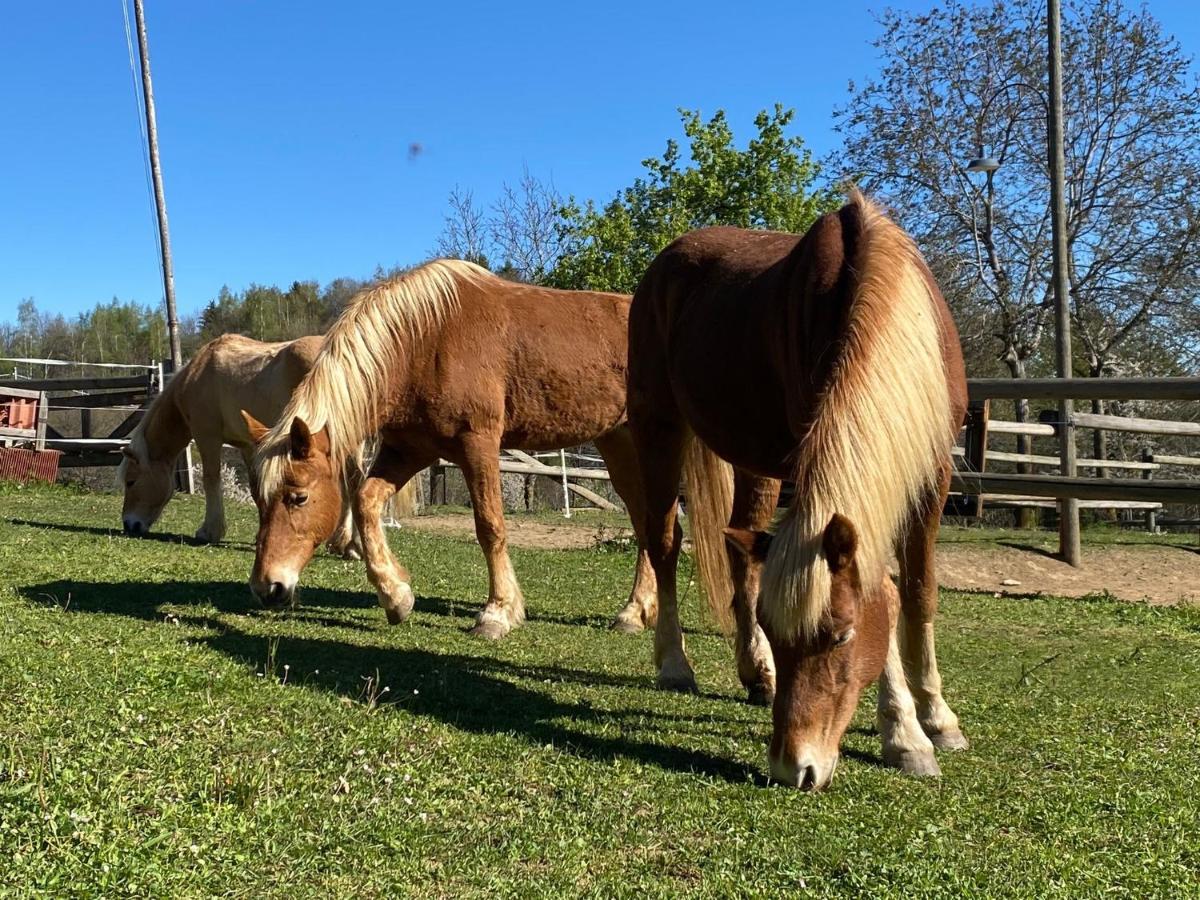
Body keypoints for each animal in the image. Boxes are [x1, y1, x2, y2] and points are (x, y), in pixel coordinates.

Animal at [120, 333, 369, 554]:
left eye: (131, 482)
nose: (129, 525)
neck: (198, 373)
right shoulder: (247, 446)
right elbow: (256, 487)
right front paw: (260, 535)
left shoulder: (207, 437)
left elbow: (211, 479)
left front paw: (210, 531)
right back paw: (343, 544)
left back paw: (351, 546)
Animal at [242, 260, 657, 643]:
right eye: (260, 500)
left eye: (298, 497)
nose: (267, 587)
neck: (423, 340)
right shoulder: (408, 451)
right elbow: (365, 502)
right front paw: (396, 596)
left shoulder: (479, 445)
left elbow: (490, 527)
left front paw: (497, 613)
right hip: (617, 442)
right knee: (644, 518)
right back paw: (636, 612)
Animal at [633, 194, 969, 792]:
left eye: (839, 637)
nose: (794, 768)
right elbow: (886, 587)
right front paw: (903, 734)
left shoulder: (933, 474)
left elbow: (918, 592)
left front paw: (936, 716)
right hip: (660, 429)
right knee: (665, 544)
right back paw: (676, 664)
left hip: (757, 463)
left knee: (739, 555)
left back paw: (755, 674)